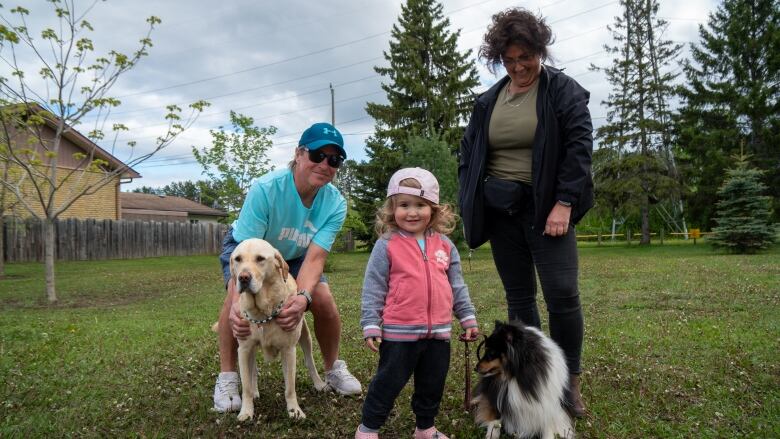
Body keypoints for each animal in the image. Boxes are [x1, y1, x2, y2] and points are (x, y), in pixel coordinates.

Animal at [229, 239, 326, 422]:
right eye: (238, 259)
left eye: (260, 258)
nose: (243, 277)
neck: (263, 312)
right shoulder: (244, 349)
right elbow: (246, 386)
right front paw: (246, 411)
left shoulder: (288, 350)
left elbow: (290, 387)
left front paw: (295, 411)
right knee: (253, 371)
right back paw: (255, 391)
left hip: (305, 337)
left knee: (310, 361)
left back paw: (319, 383)